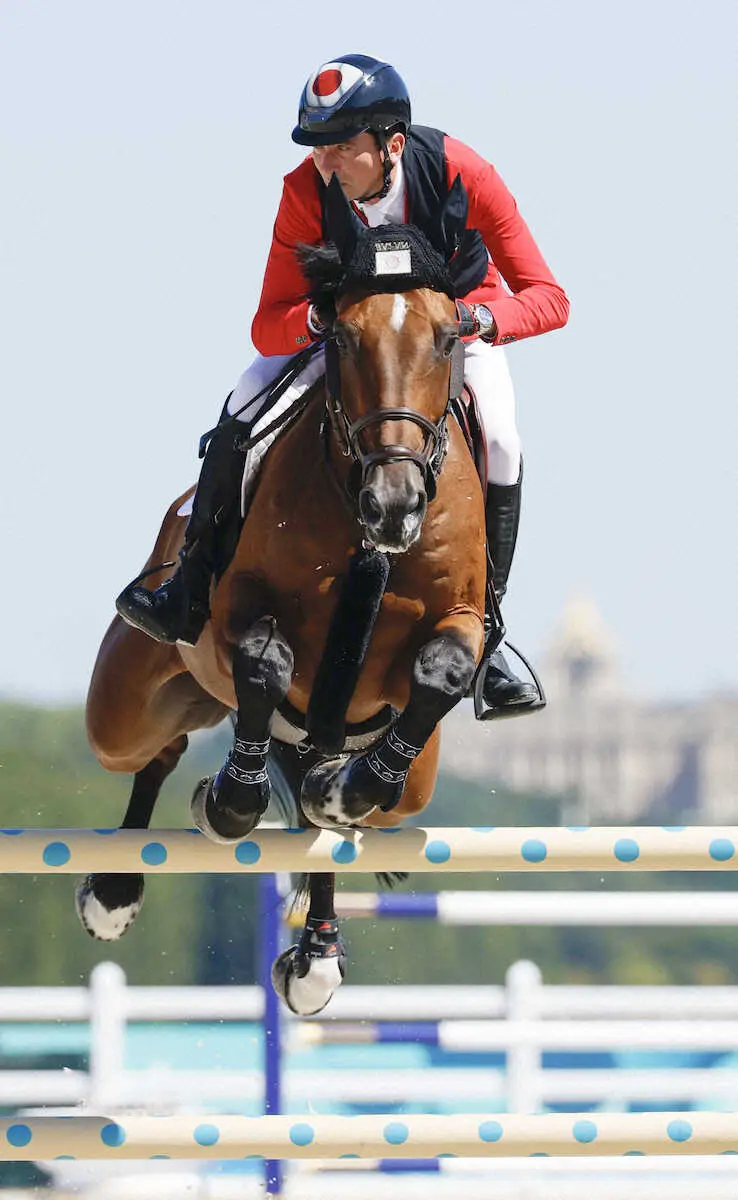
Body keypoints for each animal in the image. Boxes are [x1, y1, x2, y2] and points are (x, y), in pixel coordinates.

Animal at [79, 177, 489, 1015]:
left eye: (446, 337)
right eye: (342, 339)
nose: (394, 507)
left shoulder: (459, 617)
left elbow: (442, 671)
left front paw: (347, 791)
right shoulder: (243, 612)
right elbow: (265, 664)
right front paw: (225, 804)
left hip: (412, 784)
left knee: (327, 805)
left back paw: (318, 955)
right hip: (128, 709)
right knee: (158, 749)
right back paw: (113, 893)